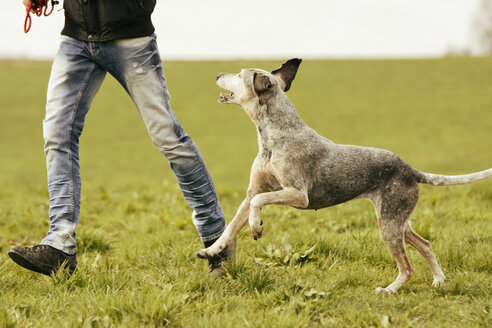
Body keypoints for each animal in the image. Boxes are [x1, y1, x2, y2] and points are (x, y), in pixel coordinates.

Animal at [196, 59, 492, 294]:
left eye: (240, 74)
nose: (217, 74)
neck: (273, 136)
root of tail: (409, 168)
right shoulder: (252, 193)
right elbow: (230, 228)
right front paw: (210, 251)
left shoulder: (297, 195)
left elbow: (258, 206)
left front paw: (256, 227)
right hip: (397, 220)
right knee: (426, 244)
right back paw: (439, 280)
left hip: (389, 225)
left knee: (407, 268)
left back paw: (389, 290)